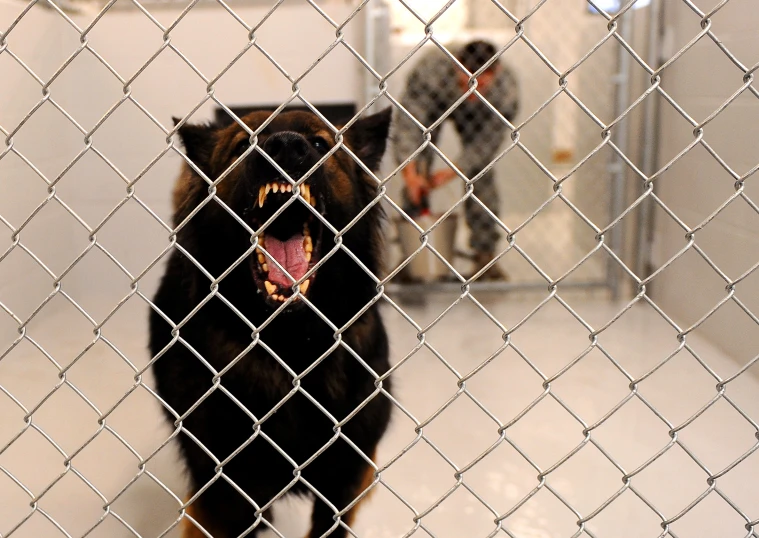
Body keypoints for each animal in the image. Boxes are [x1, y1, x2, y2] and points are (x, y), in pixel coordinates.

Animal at [151, 107, 394, 532]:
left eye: (319, 142)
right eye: (242, 145)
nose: (285, 146)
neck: (291, 344)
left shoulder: (346, 481)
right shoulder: (222, 492)